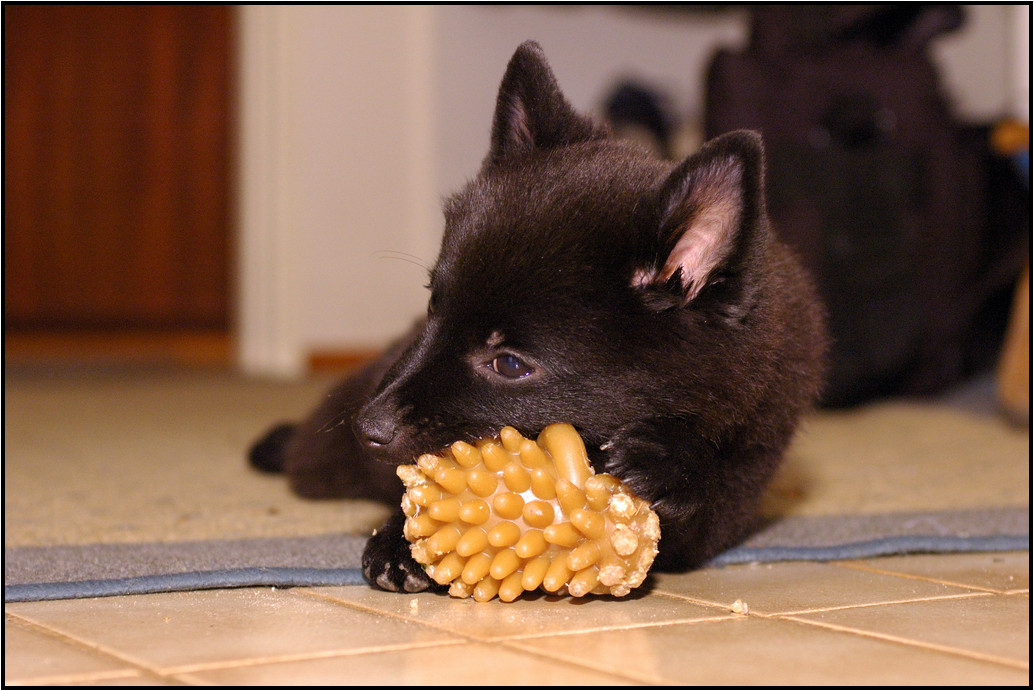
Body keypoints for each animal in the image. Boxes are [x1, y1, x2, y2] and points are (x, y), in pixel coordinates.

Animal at [249, 41, 827, 593]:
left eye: (509, 364)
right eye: (435, 305)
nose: (368, 427)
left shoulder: (746, 476)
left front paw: (673, 461)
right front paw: (399, 541)